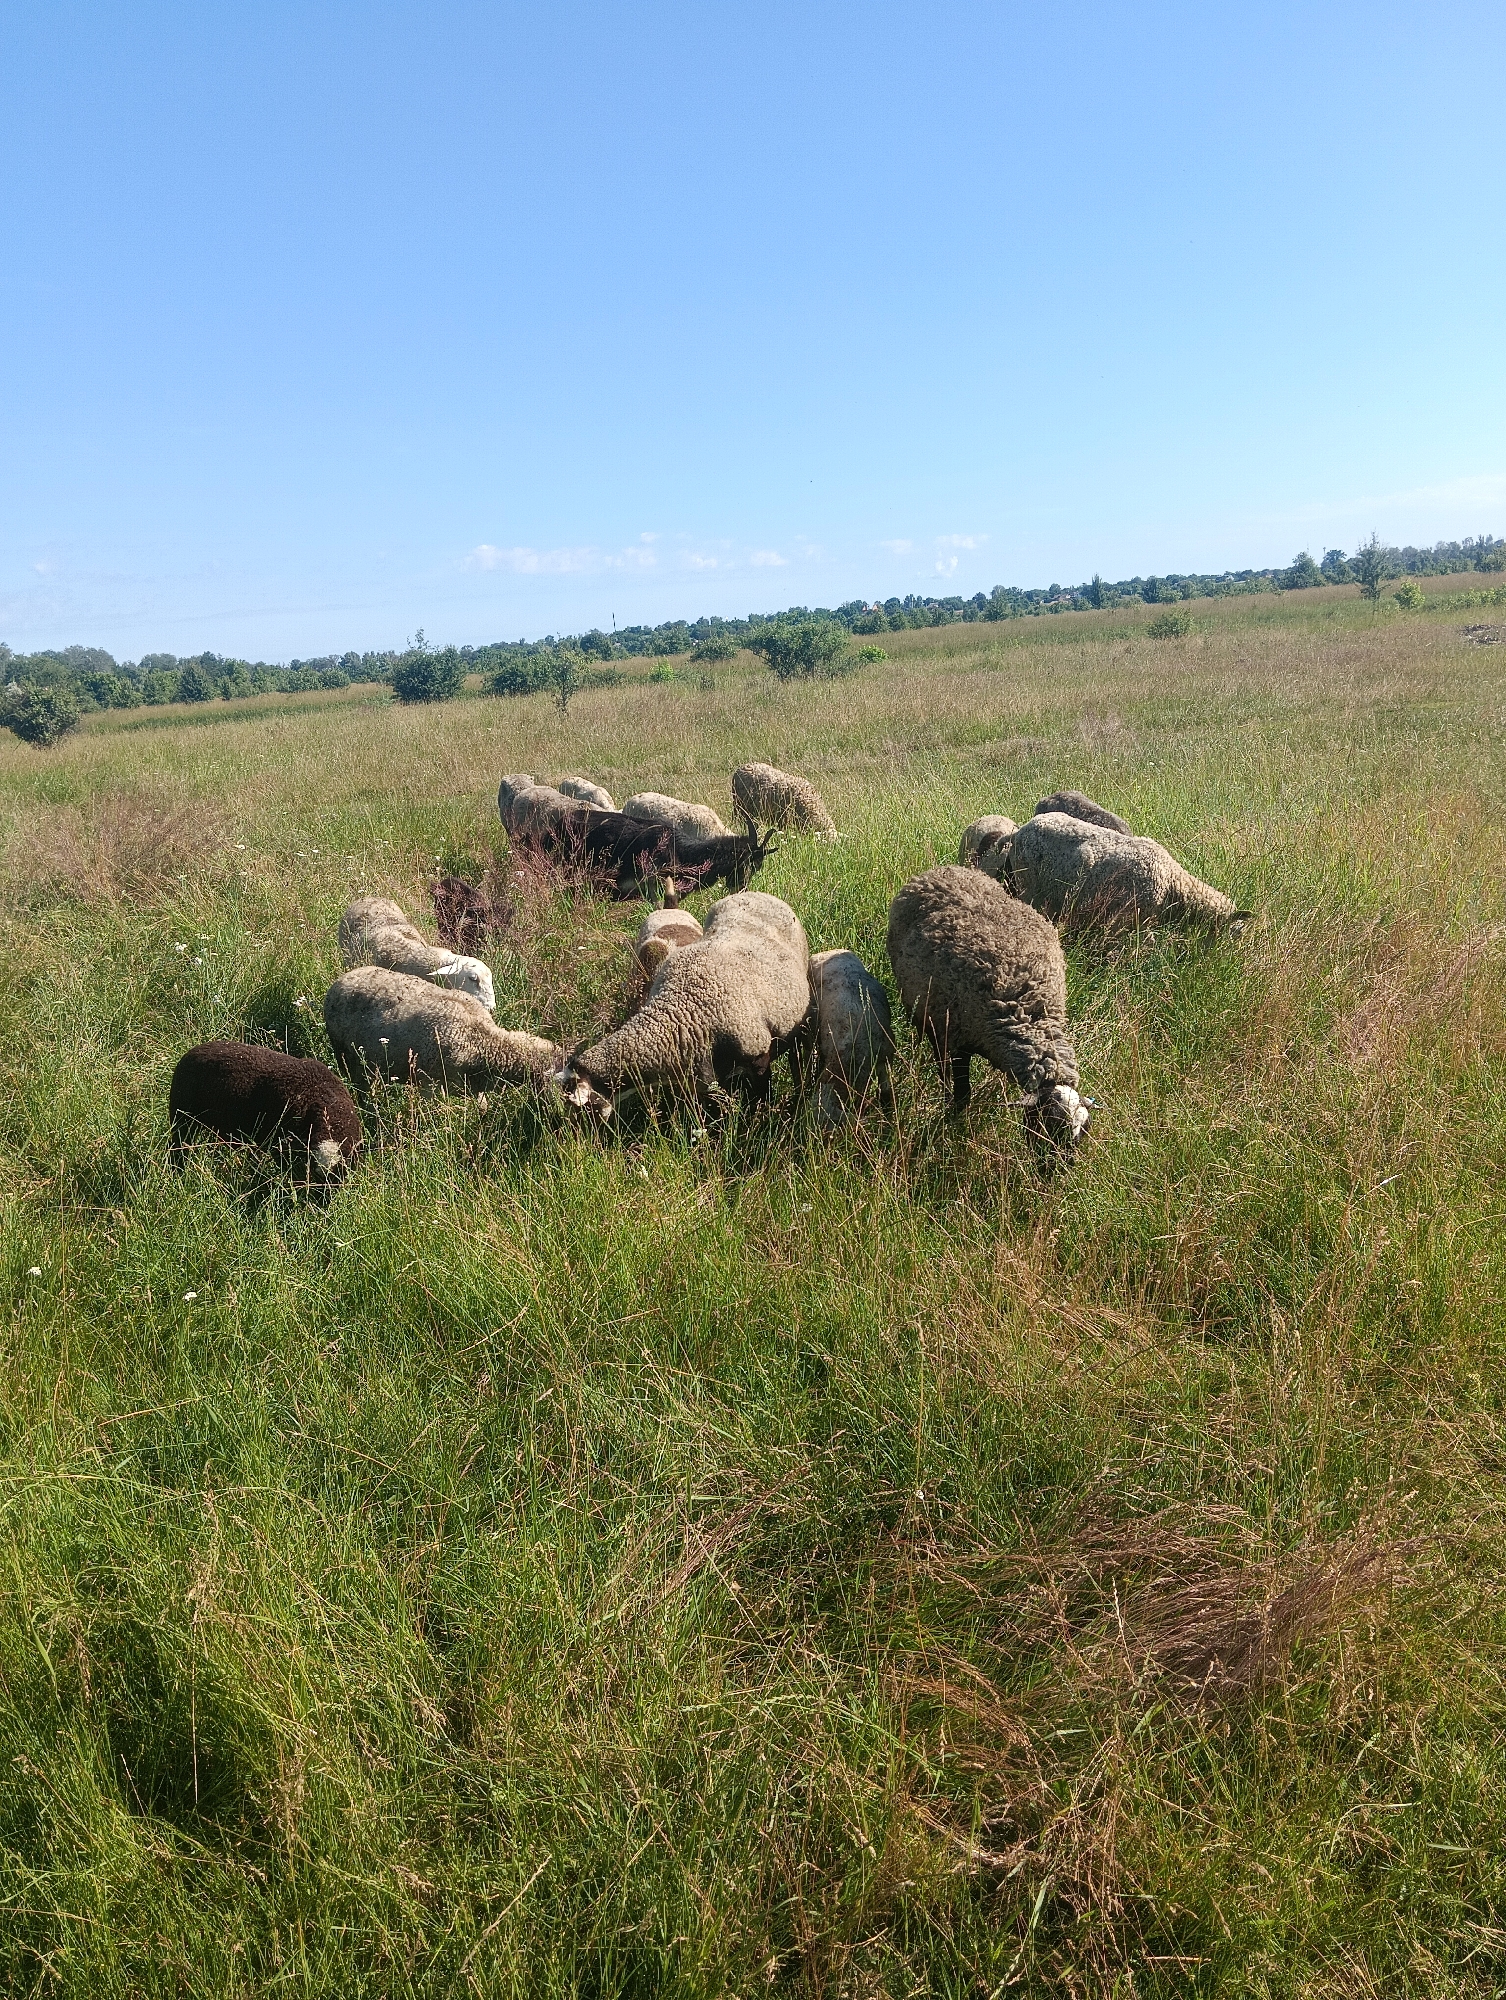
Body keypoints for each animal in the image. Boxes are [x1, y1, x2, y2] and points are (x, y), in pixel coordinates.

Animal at [169, 1042, 362, 1181]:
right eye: (315, 1174)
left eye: (342, 1175)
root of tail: (191, 1052)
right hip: (182, 1117)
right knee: (178, 1148)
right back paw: (178, 1174)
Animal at [554, 890, 809, 1115]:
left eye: (585, 1108)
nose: (584, 1138)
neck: (681, 1013)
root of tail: (753, 893)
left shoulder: (758, 1059)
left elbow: (762, 1098)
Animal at [886, 865, 1090, 1156]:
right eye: (1043, 1128)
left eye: (1081, 1135)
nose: (1053, 1169)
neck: (1028, 1013)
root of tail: (945, 869)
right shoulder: (958, 1039)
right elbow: (962, 1095)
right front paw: (951, 1123)